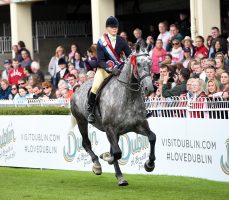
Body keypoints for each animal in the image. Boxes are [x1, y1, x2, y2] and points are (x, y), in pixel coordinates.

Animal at [70, 45, 156, 186]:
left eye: (151, 63)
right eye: (138, 64)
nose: (149, 88)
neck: (128, 96)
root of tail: (77, 88)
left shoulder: (139, 126)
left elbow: (152, 137)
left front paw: (149, 165)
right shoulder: (110, 128)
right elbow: (116, 153)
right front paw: (107, 158)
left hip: (116, 132)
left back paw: (118, 175)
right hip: (81, 121)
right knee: (86, 143)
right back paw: (98, 165)